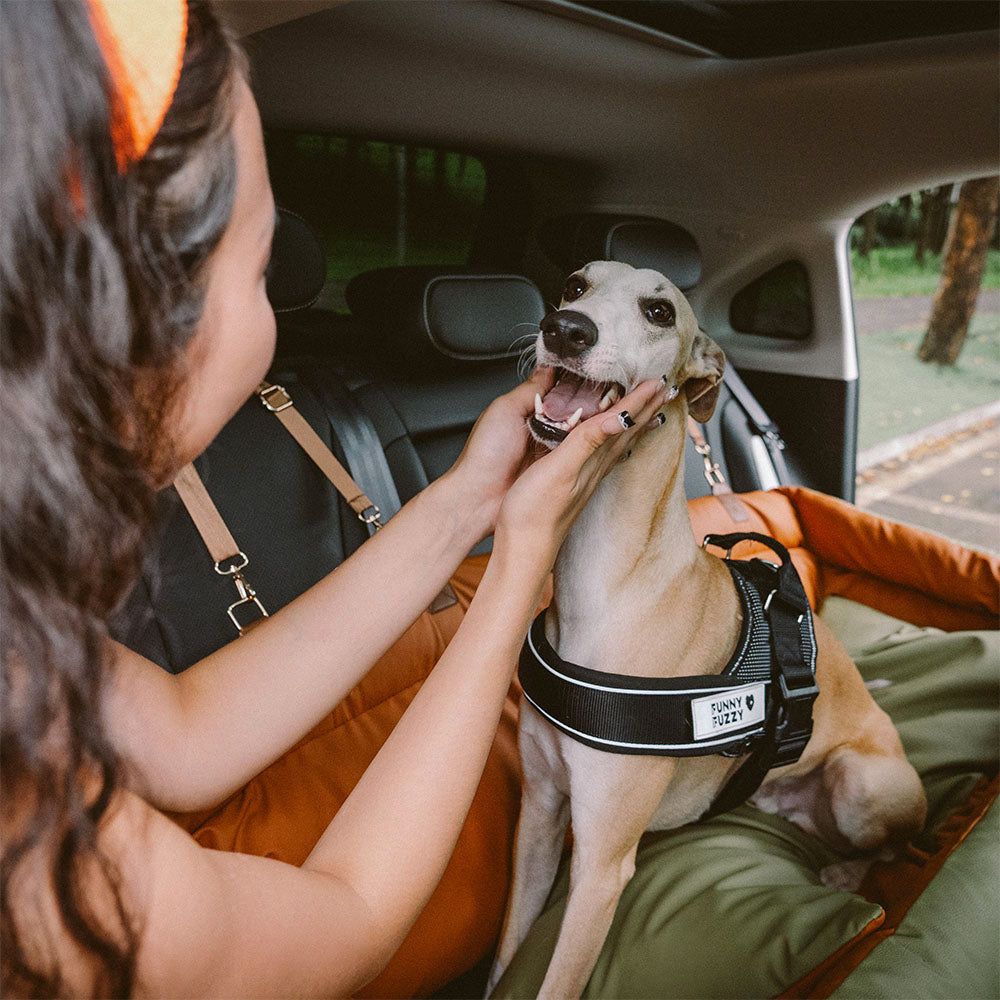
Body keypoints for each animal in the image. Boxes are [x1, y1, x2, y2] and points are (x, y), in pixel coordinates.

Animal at [488, 262, 924, 996]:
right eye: (575, 284)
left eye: (660, 311)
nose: (565, 330)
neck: (610, 583)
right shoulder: (540, 818)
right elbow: (505, 959)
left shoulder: (601, 867)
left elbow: (557, 980)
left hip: (860, 783)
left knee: (896, 847)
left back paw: (846, 870)